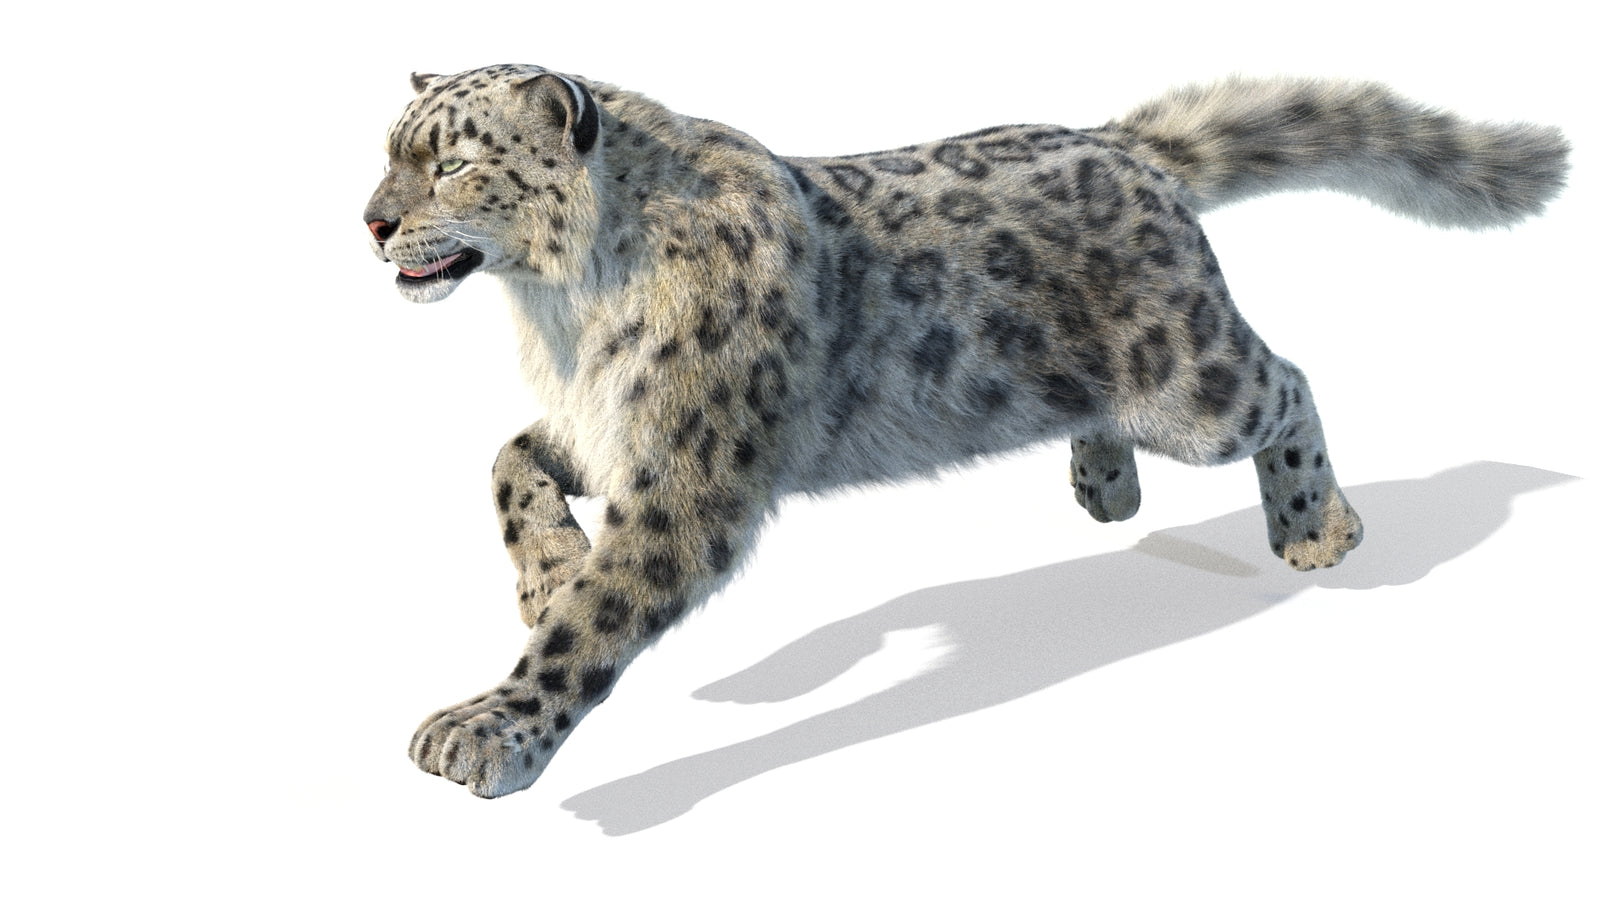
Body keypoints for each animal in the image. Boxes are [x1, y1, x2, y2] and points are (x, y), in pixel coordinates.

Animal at [363, 65, 1568, 798]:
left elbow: (596, 624)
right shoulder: (605, 429)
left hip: (1193, 387)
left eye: (453, 161)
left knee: (1288, 381)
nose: (371, 220)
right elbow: (506, 459)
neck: (560, 316)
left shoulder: (689, 472)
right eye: (389, 150)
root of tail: (1129, 150)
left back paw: (1316, 525)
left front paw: (485, 730)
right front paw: (546, 575)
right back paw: (1105, 487)